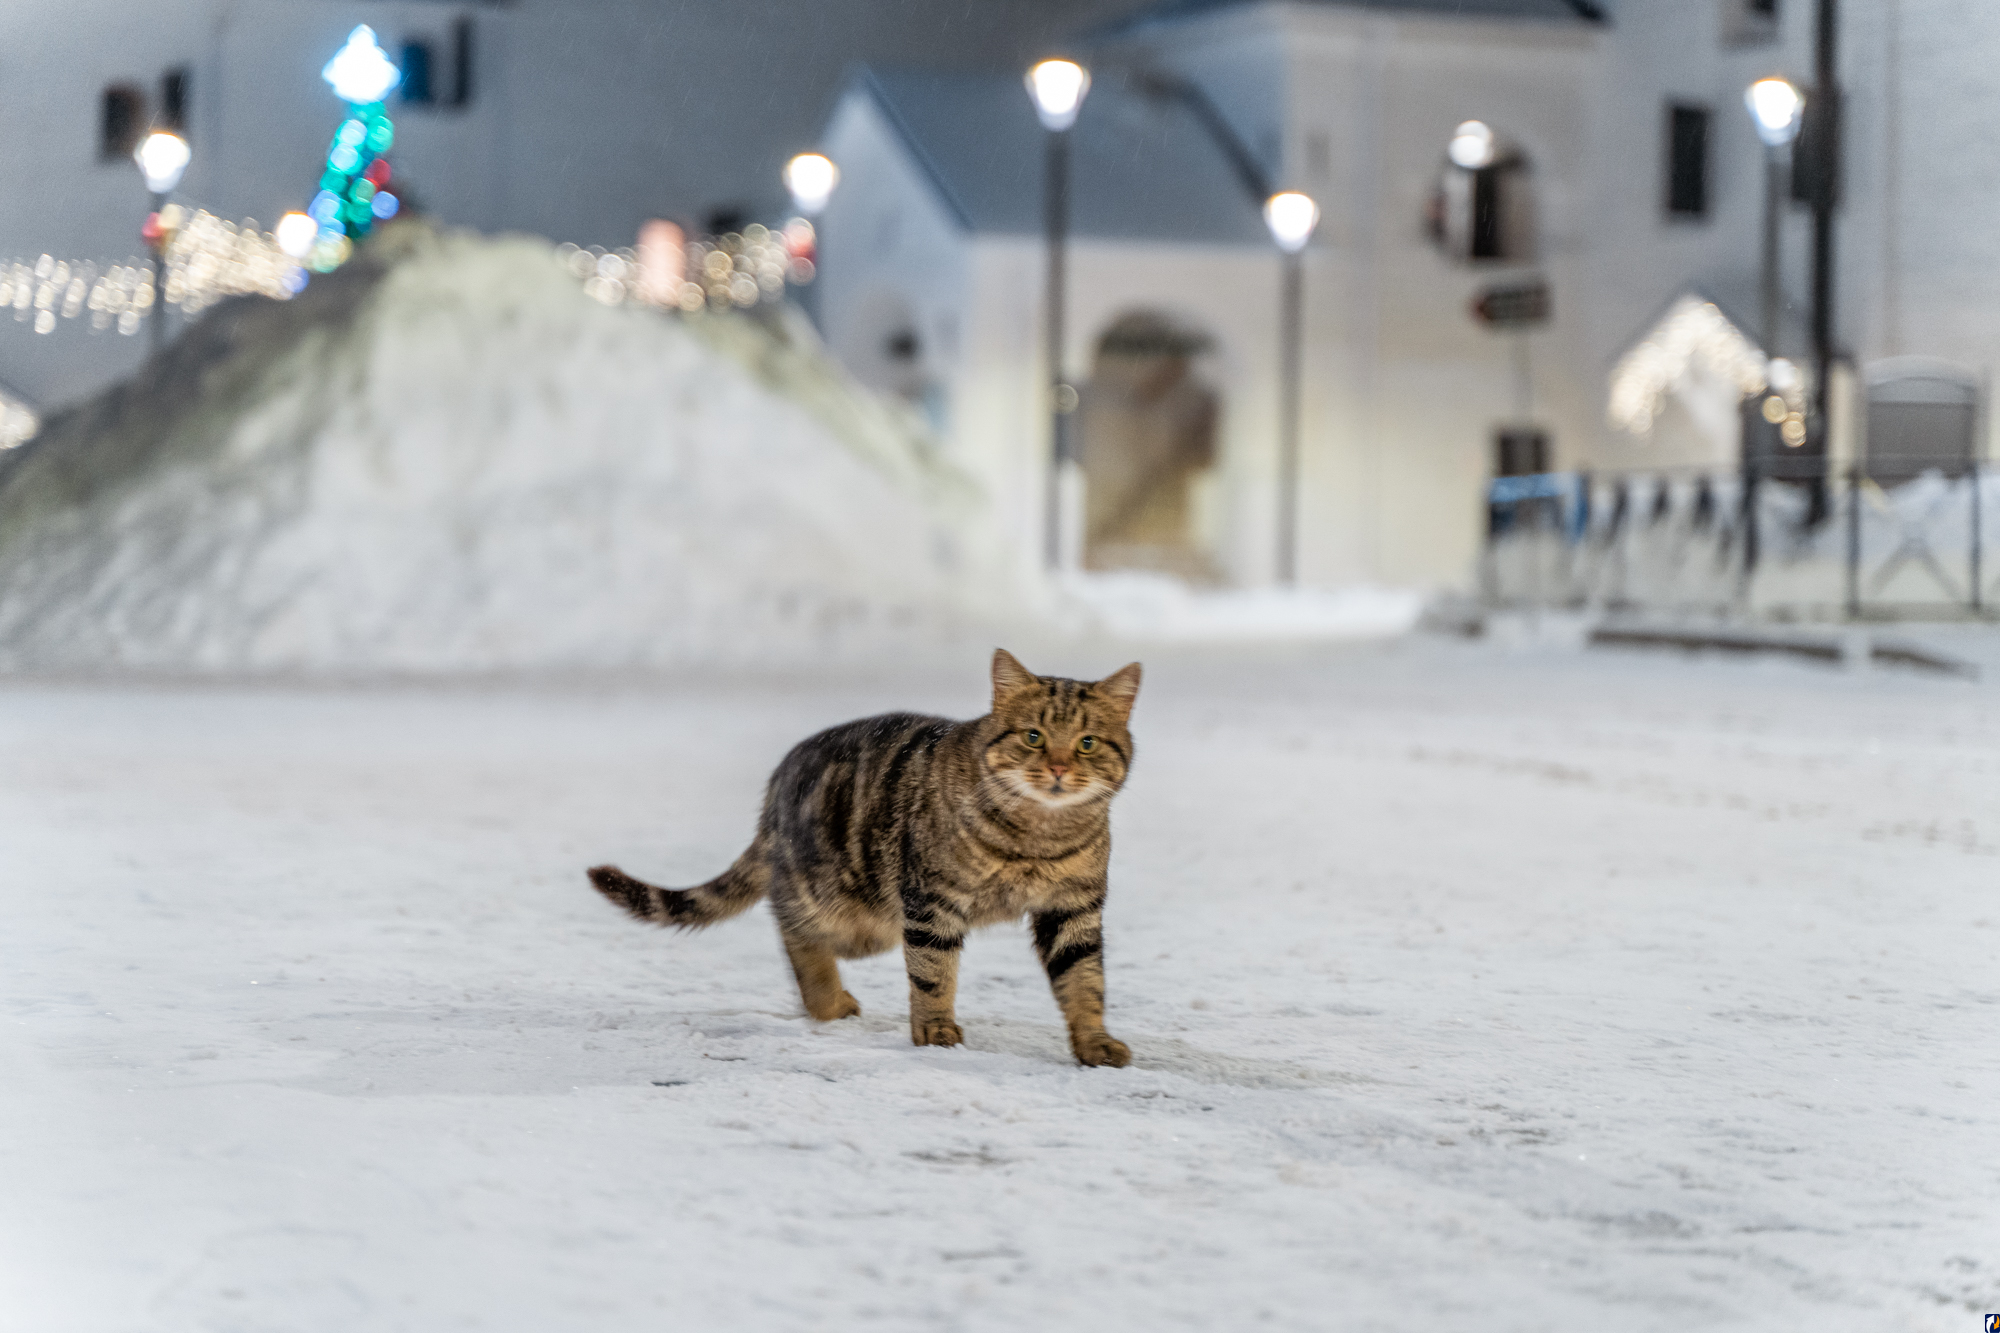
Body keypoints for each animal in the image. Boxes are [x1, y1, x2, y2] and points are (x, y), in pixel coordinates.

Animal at [584, 648, 1144, 1064]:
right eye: (1033, 737)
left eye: (1087, 743)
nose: (1058, 768)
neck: (1038, 838)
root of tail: (775, 786)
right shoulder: (932, 903)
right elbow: (933, 975)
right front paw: (935, 1029)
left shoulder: (1072, 910)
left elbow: (1085, 982)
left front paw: (1094, 1042)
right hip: (847, 908)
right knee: (792, 926)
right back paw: (828, 1001)